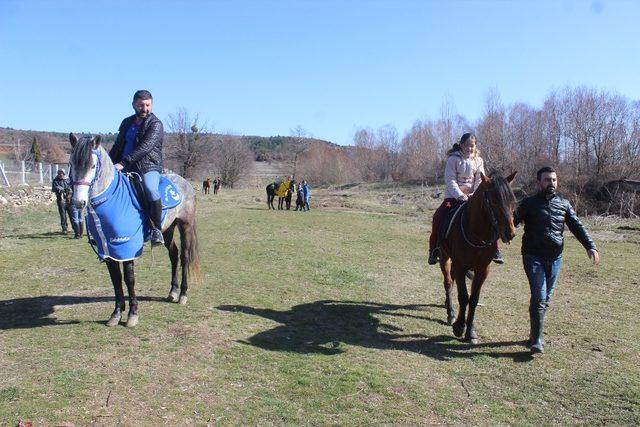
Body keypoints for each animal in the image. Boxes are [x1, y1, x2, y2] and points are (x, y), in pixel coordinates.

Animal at [69, 134, 200, 328]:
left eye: (92, 165)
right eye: (71, 163)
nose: (79, 202)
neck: (112, 199)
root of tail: (184, 183)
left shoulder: (126, 247)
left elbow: (129, 279)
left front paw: (132, 314)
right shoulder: (108, 249)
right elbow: (115, 279)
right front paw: (116, 313)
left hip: (185, 226)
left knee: (184, 256)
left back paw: (183, 294)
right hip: (167, 229)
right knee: (174, 255)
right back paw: (173, 291)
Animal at [438, 173, 516, 344]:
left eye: (512, 201)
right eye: (493, 201)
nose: (510, 233)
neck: (477, 233)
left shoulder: (482, 270)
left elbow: (473, 299)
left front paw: (470, 331)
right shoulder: (460, 266)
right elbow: (463, 296)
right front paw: (459, 327)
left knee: (451, 281)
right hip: (444, 257)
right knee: (448, 282)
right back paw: (450, 313)